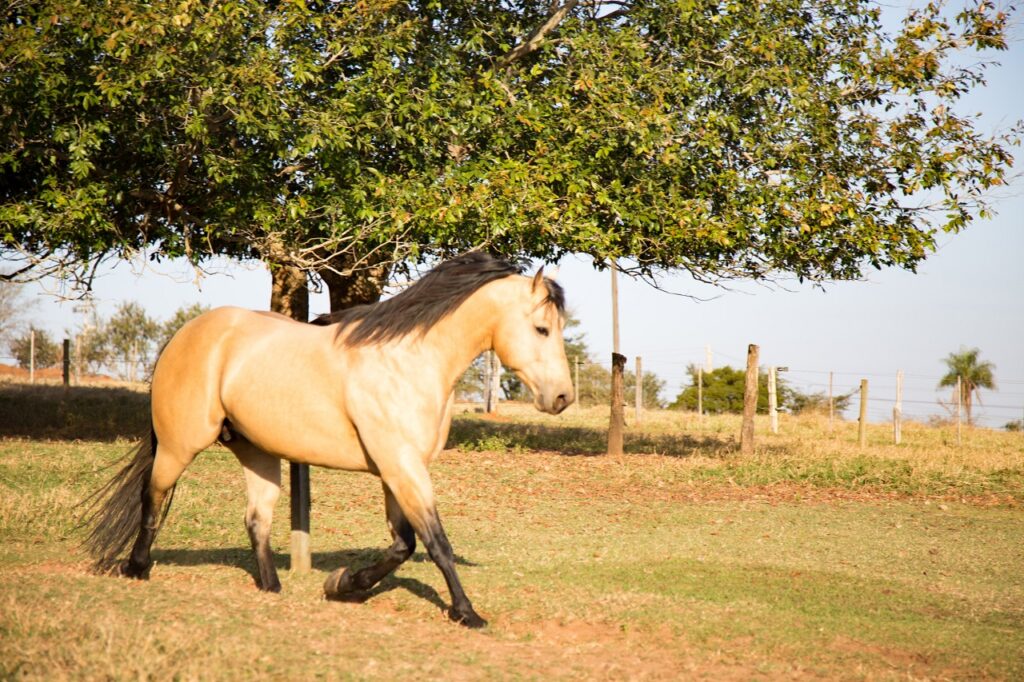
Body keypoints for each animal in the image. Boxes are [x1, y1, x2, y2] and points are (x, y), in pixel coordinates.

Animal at [79, 252, 574, 628]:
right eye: (542, 329)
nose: (562, 397)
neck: (409, 362)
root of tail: (185, 334)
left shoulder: (398, 470)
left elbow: (403, 544)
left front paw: (343, 586)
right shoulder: (403, 467)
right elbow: (436, 543)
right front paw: (467, 613)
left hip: (257, 452)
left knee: (256, 519)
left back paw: (272, 587)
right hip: (180, 443)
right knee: (152, 499)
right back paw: (136, 568)